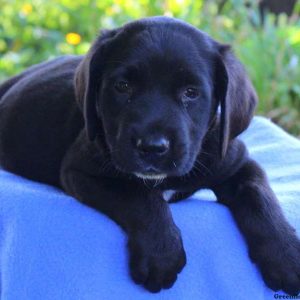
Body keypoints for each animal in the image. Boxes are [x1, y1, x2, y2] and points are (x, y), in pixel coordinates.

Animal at [0, 16, 300, 292]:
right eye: (122, 86)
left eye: (191, 93)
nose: (153, 147)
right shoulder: (81, 170)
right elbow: (139, 196)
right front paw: (161, 254)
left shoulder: (238, 163)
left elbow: (261, 198)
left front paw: (286, 256)